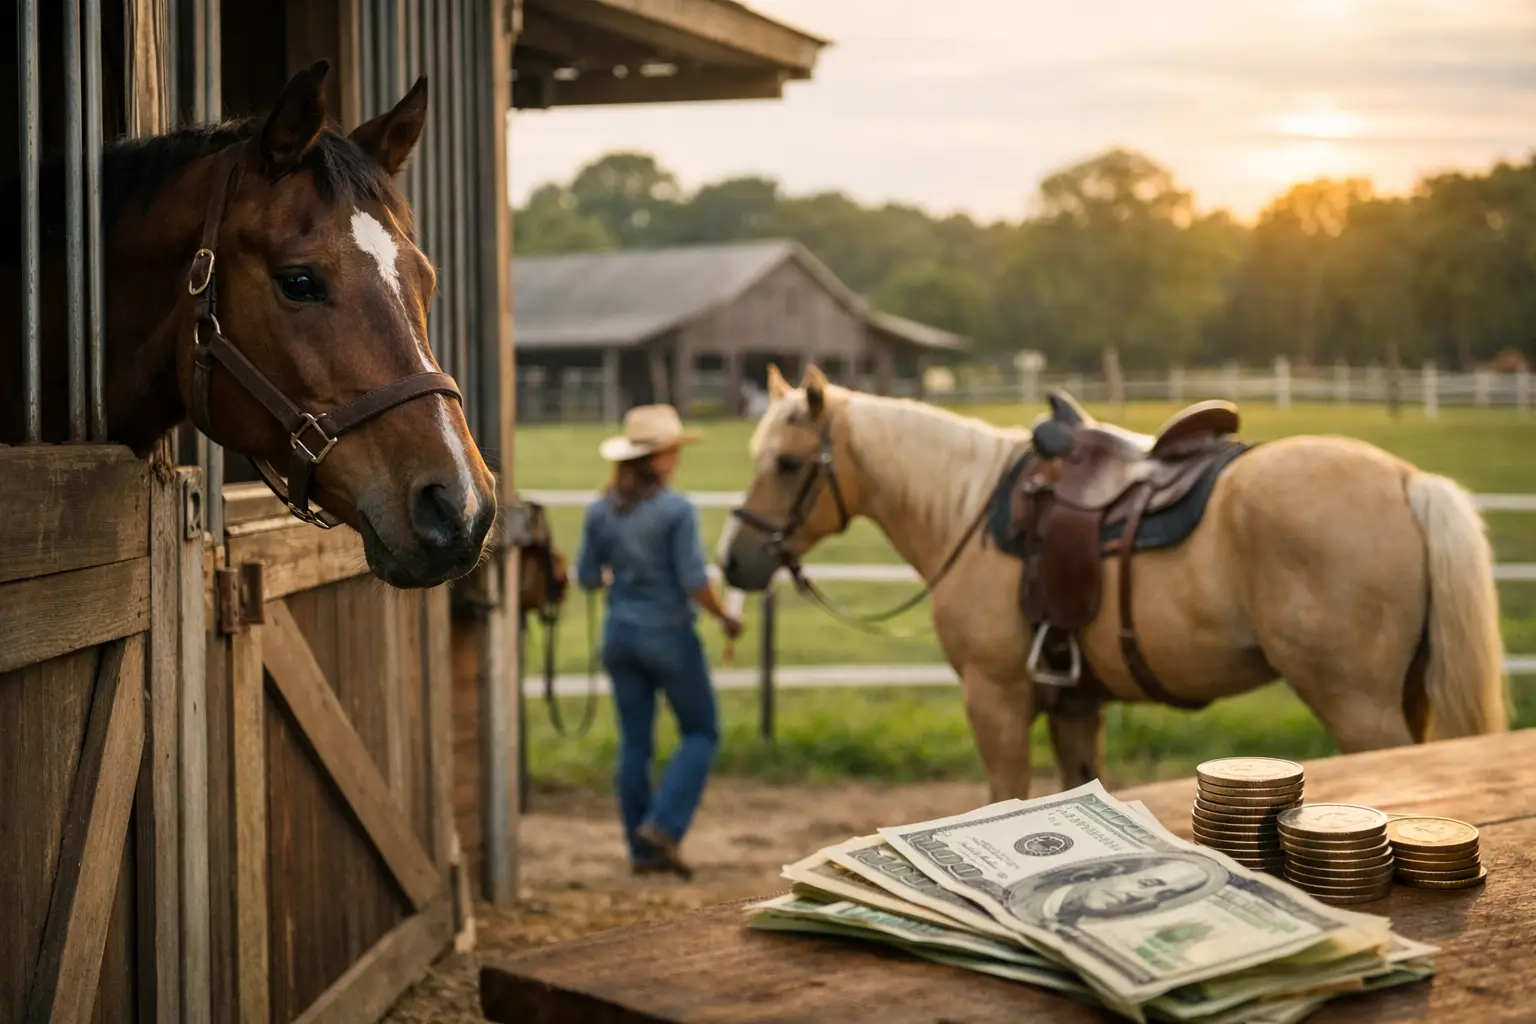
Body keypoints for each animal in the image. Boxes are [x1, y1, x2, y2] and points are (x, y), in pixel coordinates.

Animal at [720, 364, 1508, 801]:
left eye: (787, 463)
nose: (734, 561)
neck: (971, 511)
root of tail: (1407, 480)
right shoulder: (1075, 705)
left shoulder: (995, 698)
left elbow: (1004, 796)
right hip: (1406, 696)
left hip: (1358, 705)